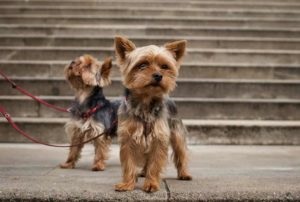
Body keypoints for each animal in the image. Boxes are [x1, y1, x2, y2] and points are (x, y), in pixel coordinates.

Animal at [112, 36, 192, 193]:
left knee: (181, 153)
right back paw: (143, 172)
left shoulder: (159, 137)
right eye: (142, 65)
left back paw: (184, 174)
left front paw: (151, 184)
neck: (145, 101)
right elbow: (129, 162)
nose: (158, 75)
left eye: (165, 66)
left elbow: (155, 163)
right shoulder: (127, 137)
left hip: (177, 133)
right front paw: (127, 184)